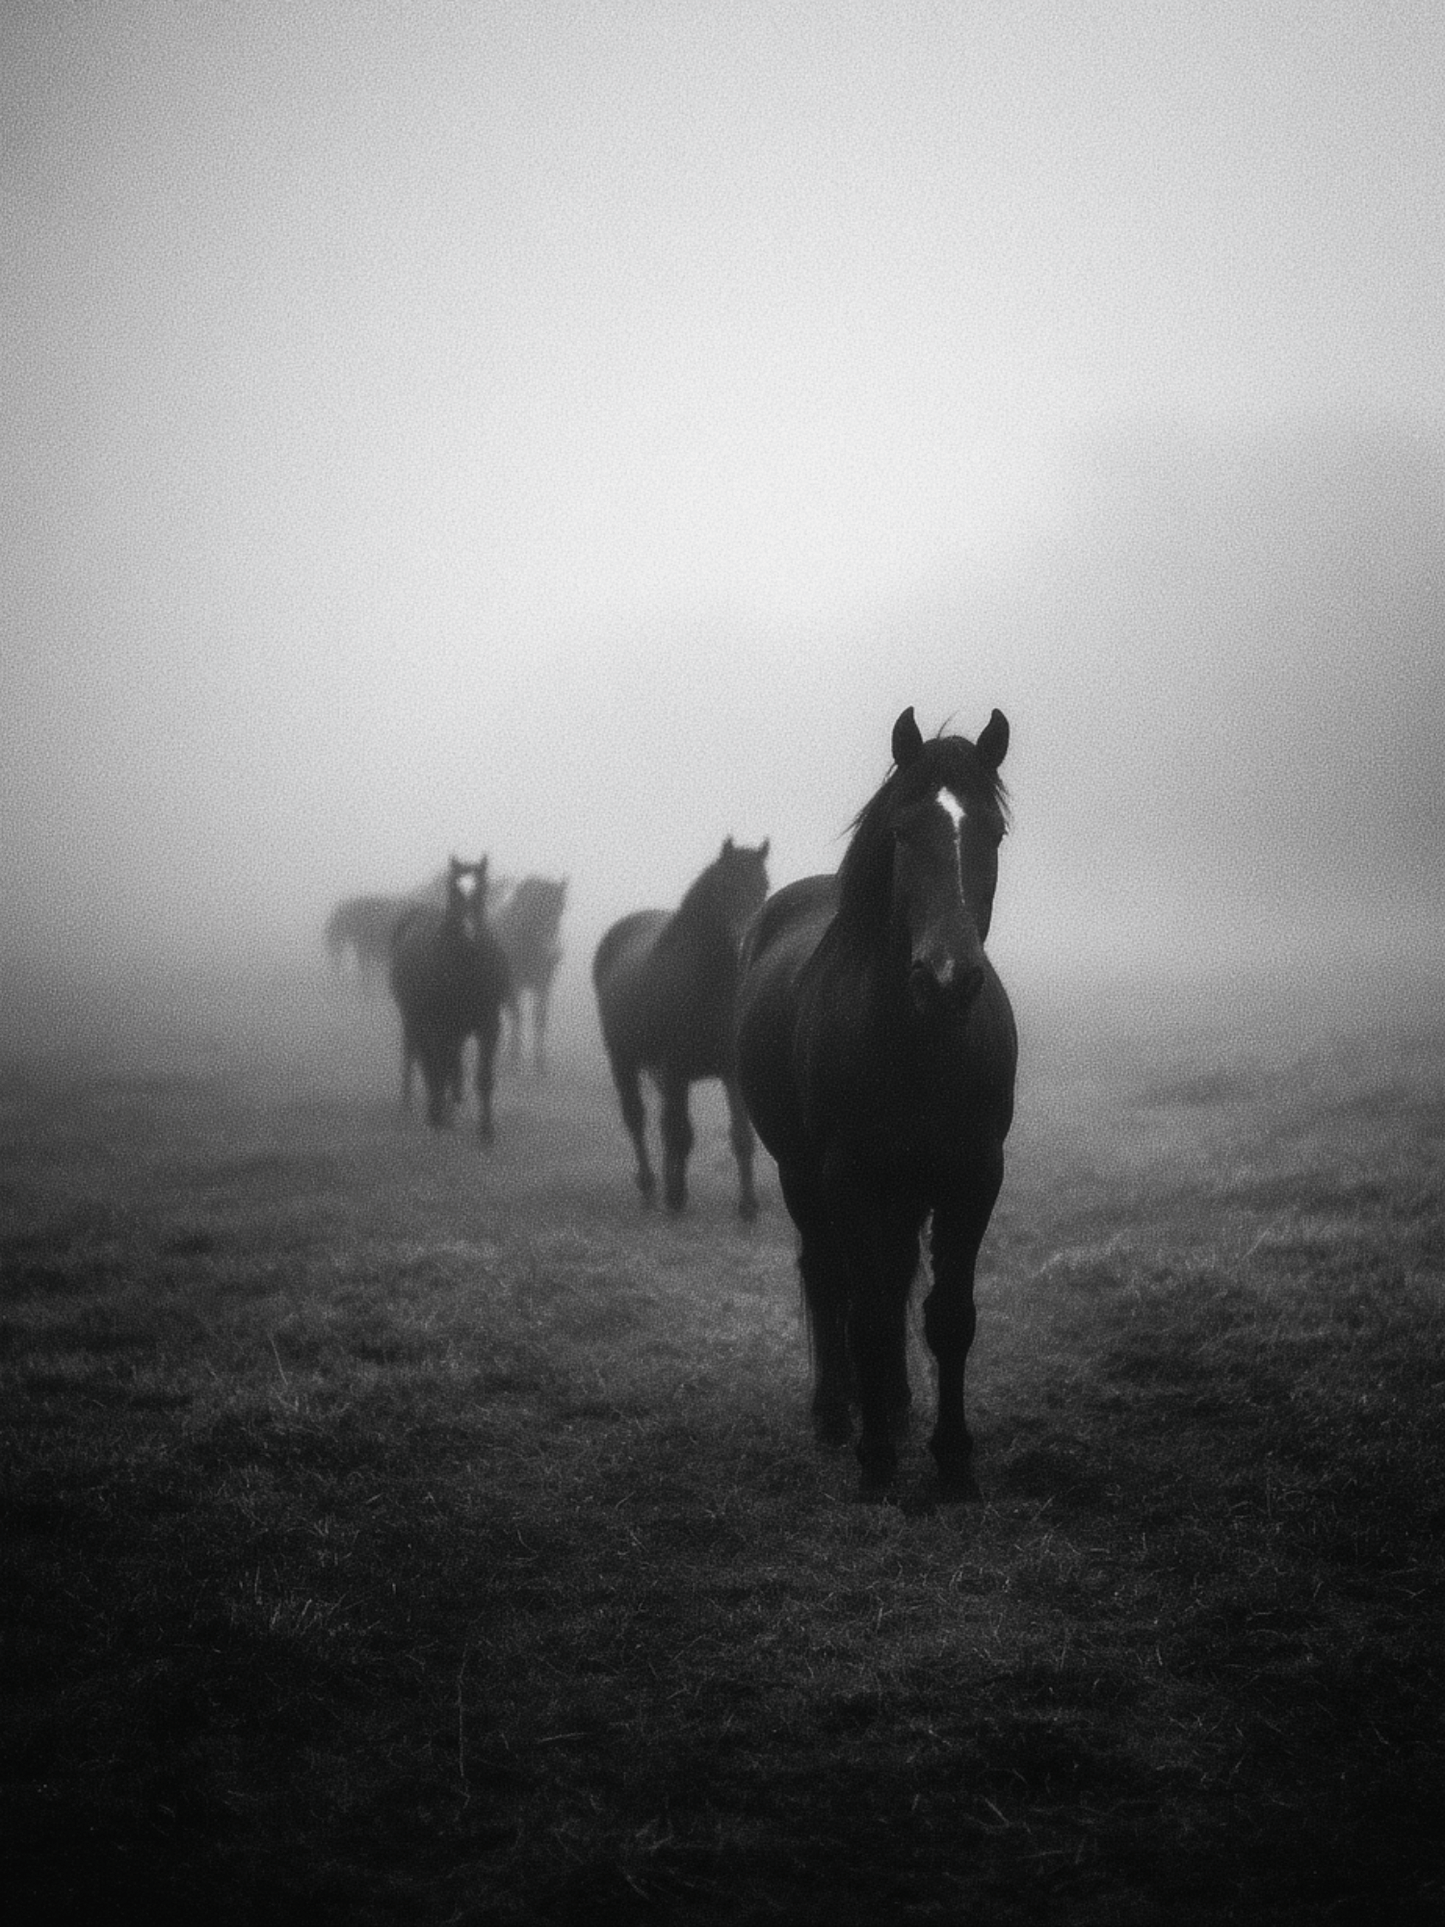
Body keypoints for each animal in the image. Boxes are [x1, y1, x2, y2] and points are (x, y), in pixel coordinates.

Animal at [388, 857, 513, 1141]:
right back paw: (421, 1104)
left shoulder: (488, 1025)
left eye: (482, 891)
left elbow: (482, 1076)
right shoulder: (440, 1025)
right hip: (414, 1020)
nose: (470, 935)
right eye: (454, 893)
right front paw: (436, 1113)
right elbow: (438, 1064)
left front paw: (486, 1131)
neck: (464, 967)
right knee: (420, 1054)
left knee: (446, 1061)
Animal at [491, 876, 568, 1074]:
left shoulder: (543, 984)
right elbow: (517, 1015)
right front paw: (514, 1059)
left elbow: (539, 1017)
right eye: (536, 910)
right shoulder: (513, 983)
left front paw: (540, 1063)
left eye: (561, 910)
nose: (552, 950)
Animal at [593, 838, 771, 1219]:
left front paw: (748, 1204)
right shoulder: (676, 1071)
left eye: (763, 887)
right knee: (638, 1119)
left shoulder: (729, 1072)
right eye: (724, 886)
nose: (745, 944)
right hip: (623, 1060)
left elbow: (740, 1138)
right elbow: (681, 1133)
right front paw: (676, 1195)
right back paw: (650, 1184)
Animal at [734, 707, 1015, 1499]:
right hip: (803, 1176)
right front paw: (877, 1461)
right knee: (829, 1277)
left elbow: (947, 1317)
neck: (919, 1044)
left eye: (992, 833)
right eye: (902, 832)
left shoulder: (972, 1176)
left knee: (890, 1282)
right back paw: (839, 1412)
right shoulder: (849, 1178)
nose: (948, 978)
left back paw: (890, 1399)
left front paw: (952, 1458)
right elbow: (863, 1314)